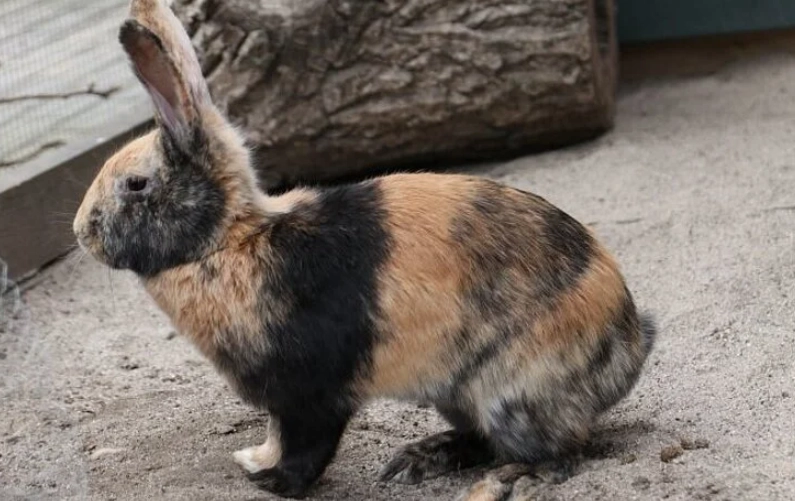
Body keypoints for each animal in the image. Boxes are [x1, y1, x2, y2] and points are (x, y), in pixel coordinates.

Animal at [73, 0, 657, 498]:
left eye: (136, 185)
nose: (82, 231)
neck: (231, 240)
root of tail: (630, 340)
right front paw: (255, 463)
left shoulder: (309, 395)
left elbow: (304, 448)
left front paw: (266, 478)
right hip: (458, 395)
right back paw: (420, 458)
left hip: (510, 395)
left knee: (560, 451)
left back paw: (511, 478)